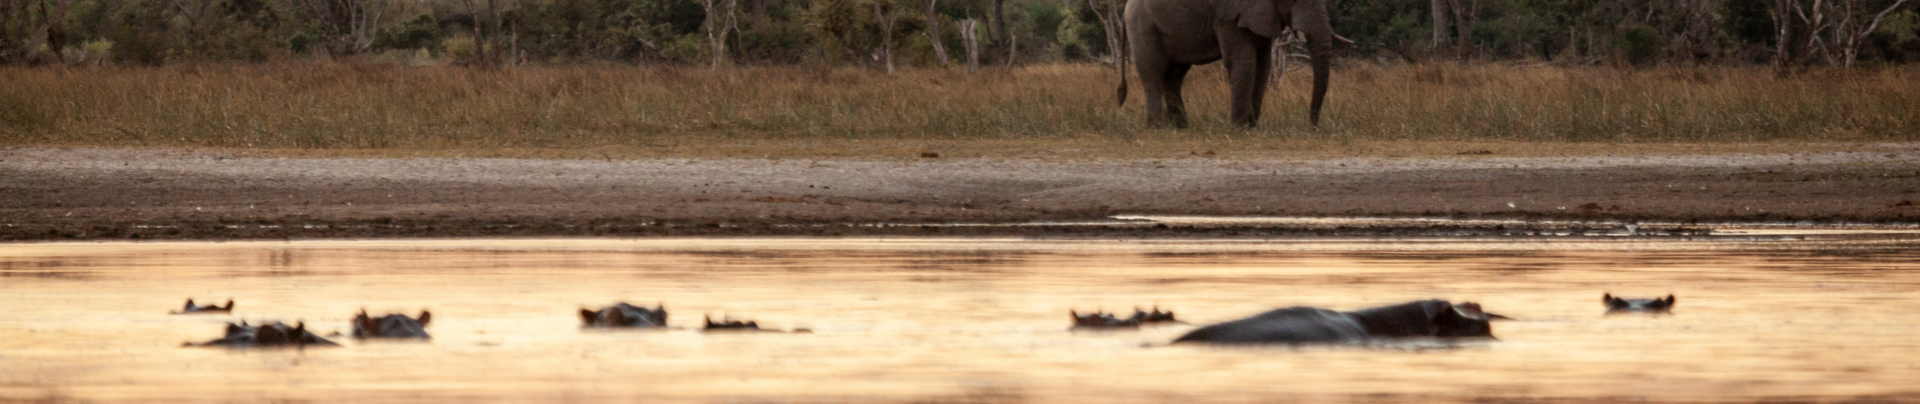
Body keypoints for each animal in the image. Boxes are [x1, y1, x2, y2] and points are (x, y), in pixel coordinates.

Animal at [1120, 0, 1335, 128]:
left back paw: (1181, 127)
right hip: (1142, 25)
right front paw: (1239, 128)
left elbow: (1262, 68)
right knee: (1153, 72)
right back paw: (1157, 127)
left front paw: (1252, 127)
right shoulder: (1228, 15)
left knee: (1174, 77)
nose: (1312, 126)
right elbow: (1243, 64)